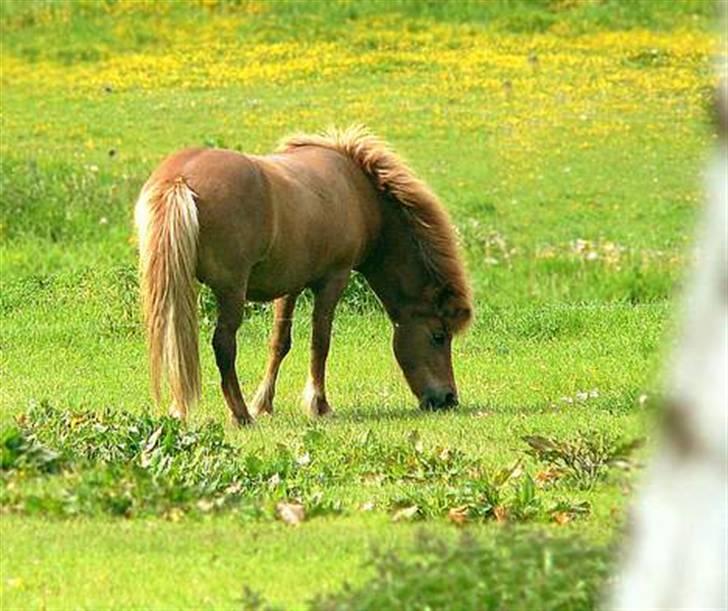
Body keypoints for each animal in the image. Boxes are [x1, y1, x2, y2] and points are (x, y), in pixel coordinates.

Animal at [135, 125, 472, 426]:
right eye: (439, 336)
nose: (448, 399)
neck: (358, 192)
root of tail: (180, 180)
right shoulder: (333, 280)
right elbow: (320, 342)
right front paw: (318, 405)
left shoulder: (289, 285)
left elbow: (279, 343)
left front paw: (264, 403)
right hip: (231, 291)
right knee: (223, 344)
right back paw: (240, 414)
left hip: (177, 284)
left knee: (174, 341)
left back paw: (182, 410)